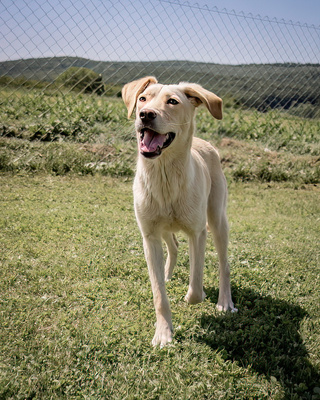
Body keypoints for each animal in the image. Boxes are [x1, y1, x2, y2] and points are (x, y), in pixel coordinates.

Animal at [121, 77, 236, 346]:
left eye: (172, 101)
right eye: (142, 98)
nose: (145, 114)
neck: (164, 175)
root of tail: (205, 143)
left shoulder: (197, 232)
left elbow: (195, 281)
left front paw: (196, 295)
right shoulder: (149, 236)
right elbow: (159, 295)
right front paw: (163, 333)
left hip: (217, 221)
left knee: (223, 265)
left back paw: (224, 302)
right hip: (163, 226)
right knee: (173, 246)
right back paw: (166, 273)